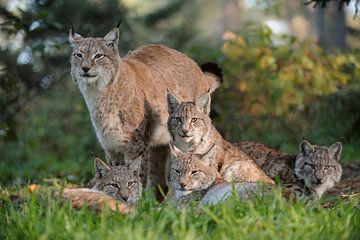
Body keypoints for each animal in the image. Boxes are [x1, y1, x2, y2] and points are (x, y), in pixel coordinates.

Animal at [69, 22, 221, 196]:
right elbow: (113, 173)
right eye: (78, 55)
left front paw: (136, 200)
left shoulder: (135, 144)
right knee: (160, 181)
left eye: (98, 56)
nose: (85, 68)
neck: (98, 94)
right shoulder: (110, 145)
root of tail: (192, 63)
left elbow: (136, 174)